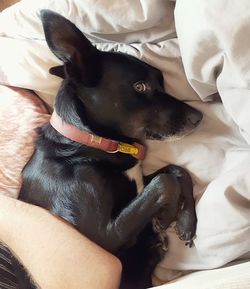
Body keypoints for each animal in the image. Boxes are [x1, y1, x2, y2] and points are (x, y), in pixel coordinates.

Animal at [14, 9, 201, 288]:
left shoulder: (138, 183)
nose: (199, 117)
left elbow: (178, 171)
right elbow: (165, 181)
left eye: (161, 82)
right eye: (140, 86)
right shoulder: (103, 238)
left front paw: (187, 220)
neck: (88, 143)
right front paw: (167, 216)